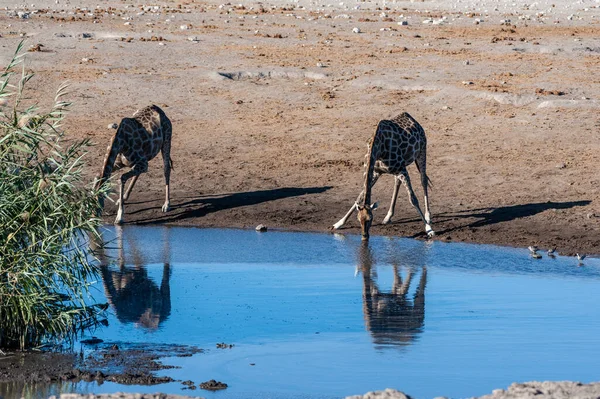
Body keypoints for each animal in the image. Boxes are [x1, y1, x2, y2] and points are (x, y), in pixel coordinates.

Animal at [330, 112, 434, 241]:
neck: (378, 147)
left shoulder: (402, 169)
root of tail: (412, 118)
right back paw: (388, 217)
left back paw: (428, 216)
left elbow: (413, 199)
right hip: (398, 169)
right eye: (358, 219)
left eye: (370, 219)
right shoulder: (376, 172)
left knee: (423, 180)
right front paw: (339, 223)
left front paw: (429, 229)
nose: (365, 236)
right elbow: (360, 196)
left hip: (421, 151)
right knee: (397, 182)